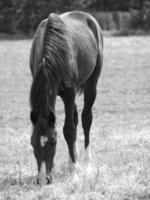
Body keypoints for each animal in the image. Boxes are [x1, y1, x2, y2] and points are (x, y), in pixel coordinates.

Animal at [29, 11, 103, 184]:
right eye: (32, 143)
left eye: (53, 142)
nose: (43, 180)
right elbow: (71, 127)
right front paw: (73, 165)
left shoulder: (69, 92)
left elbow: (69, 130)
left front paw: (74, 172)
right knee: (76, 119)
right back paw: (75, 160)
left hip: (91, 84)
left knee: (86, 119)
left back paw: (86, 163)